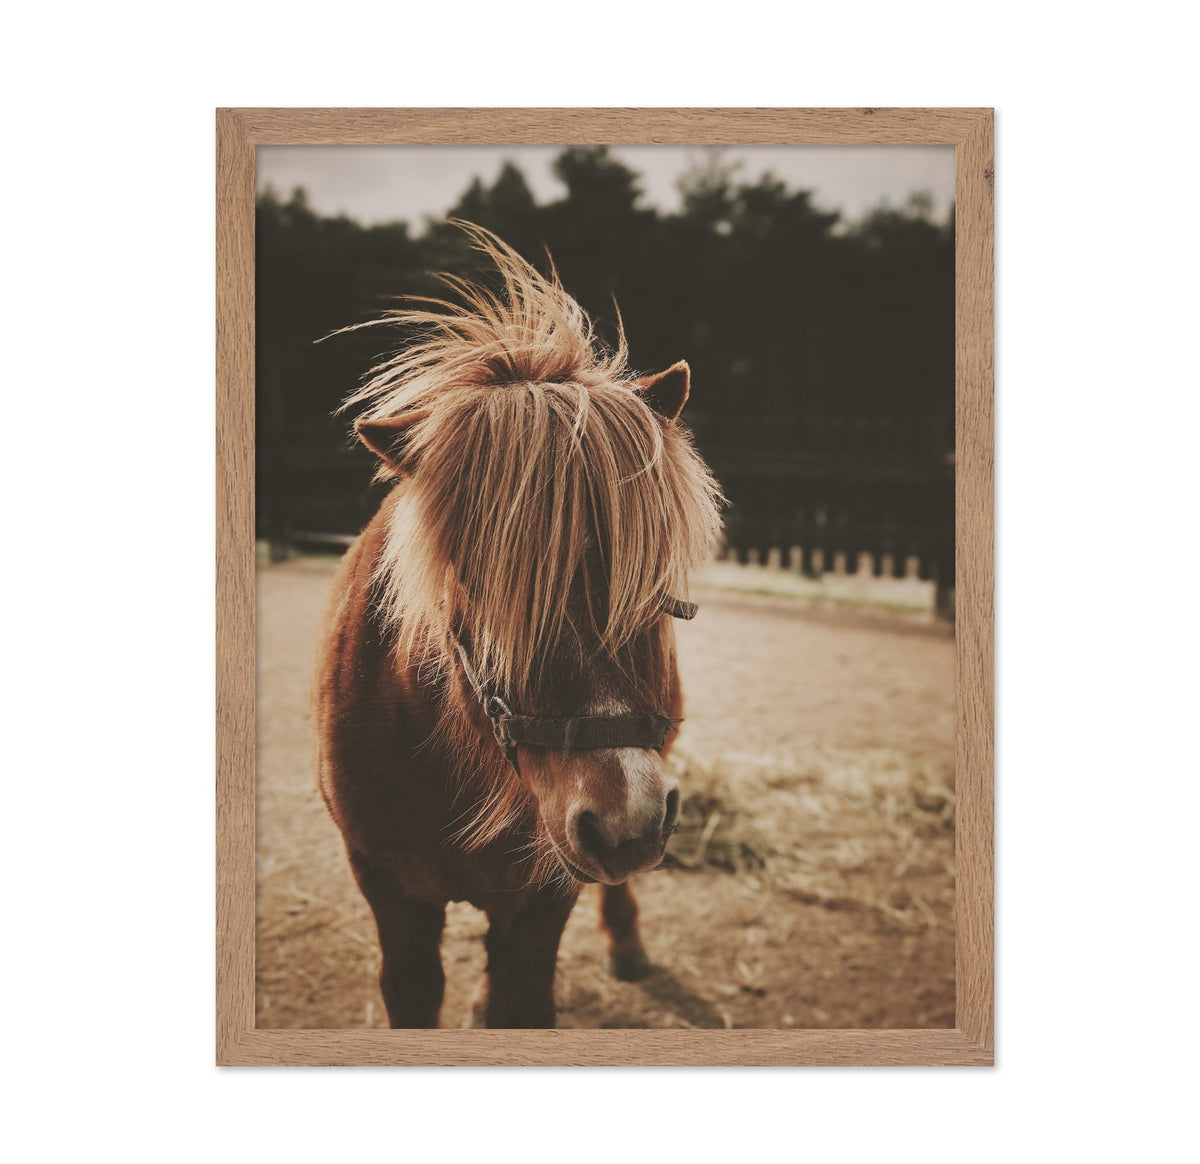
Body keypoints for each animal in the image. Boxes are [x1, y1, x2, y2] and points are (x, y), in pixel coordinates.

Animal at [313, 223, 723, 1028]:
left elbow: (523, 995)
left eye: (651, 577)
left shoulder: (544, 897)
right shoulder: (390, 894)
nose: (625, 819)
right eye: (477, 587)